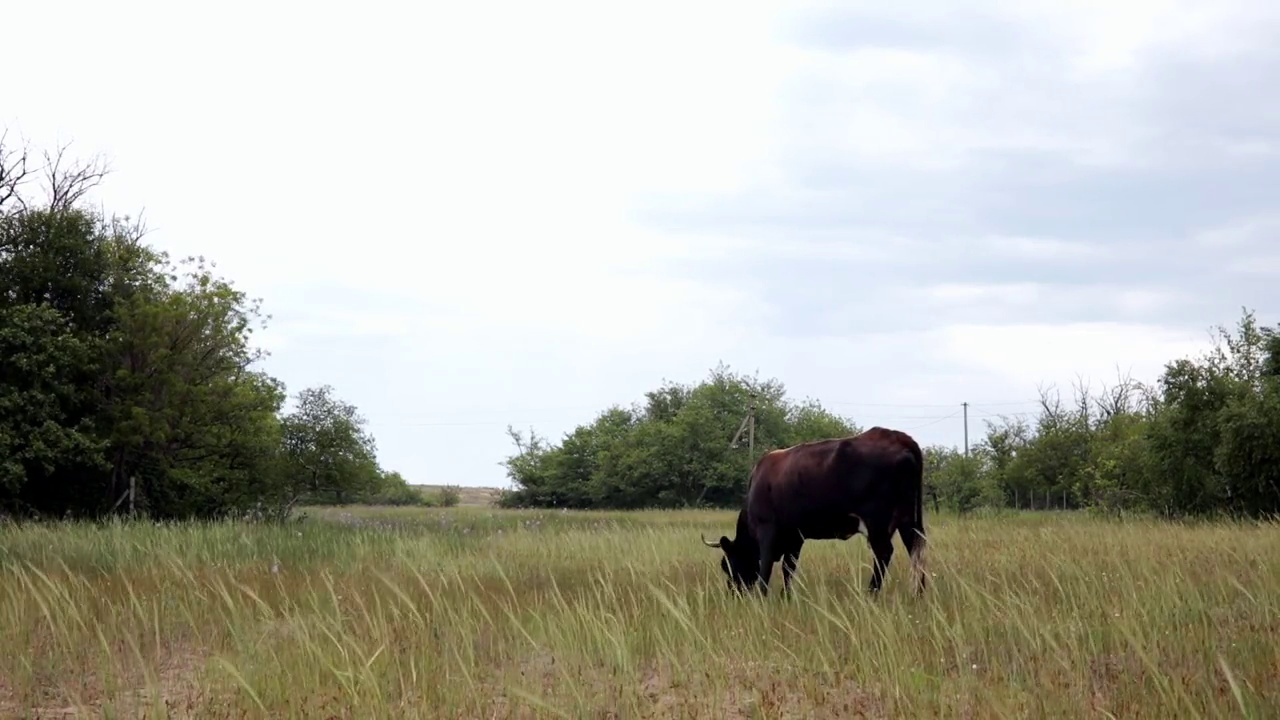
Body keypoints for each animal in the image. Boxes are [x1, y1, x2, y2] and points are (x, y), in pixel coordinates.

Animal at [701, 425, 931, 594]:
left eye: (727, 564)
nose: (734, 592)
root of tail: (898, 437)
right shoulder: (795, 537)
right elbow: (788, 568)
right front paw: (786, 597)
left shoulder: (768, 531)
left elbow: (765, 568)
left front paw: (762, 597)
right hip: (908, 519)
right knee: (916, 549)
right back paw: (918, 593)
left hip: (878, 521)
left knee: (884, 553)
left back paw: (871, 594)